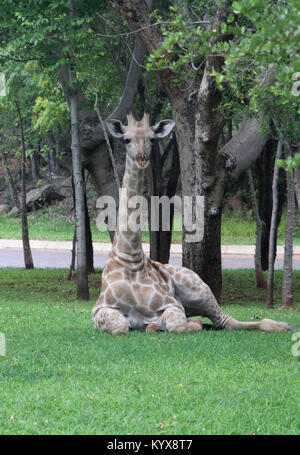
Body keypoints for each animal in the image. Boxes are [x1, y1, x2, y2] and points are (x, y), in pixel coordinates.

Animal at [91, 111, 296, 334]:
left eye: (152, 139)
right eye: (126, 139)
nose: (142, 158)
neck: (130, 258)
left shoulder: (172, 304)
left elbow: (177, 324)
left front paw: (176, 324)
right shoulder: (99, 310)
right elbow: (120, 325)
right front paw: (153, 325)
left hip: (199, 289)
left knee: (225, 320)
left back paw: (283, 325)